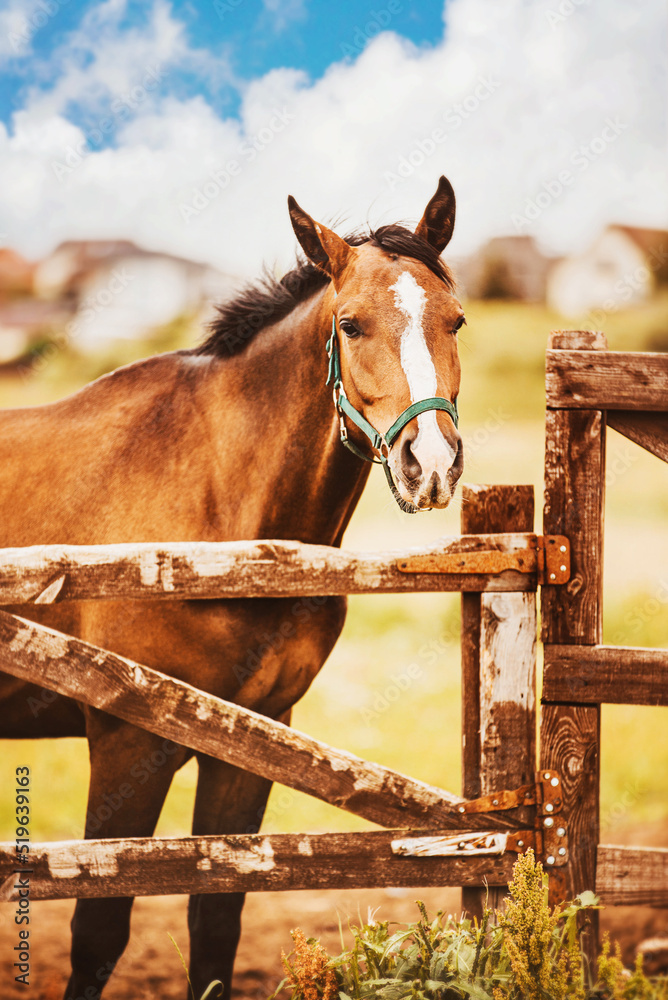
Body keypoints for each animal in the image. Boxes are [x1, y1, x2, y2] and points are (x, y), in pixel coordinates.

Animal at [0, 175, 464, 999]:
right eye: (351, 324)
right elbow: (97, 932)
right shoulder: (127, 743)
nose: (431, 465)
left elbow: (215, 921)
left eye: (457, 319)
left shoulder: (251, 739)